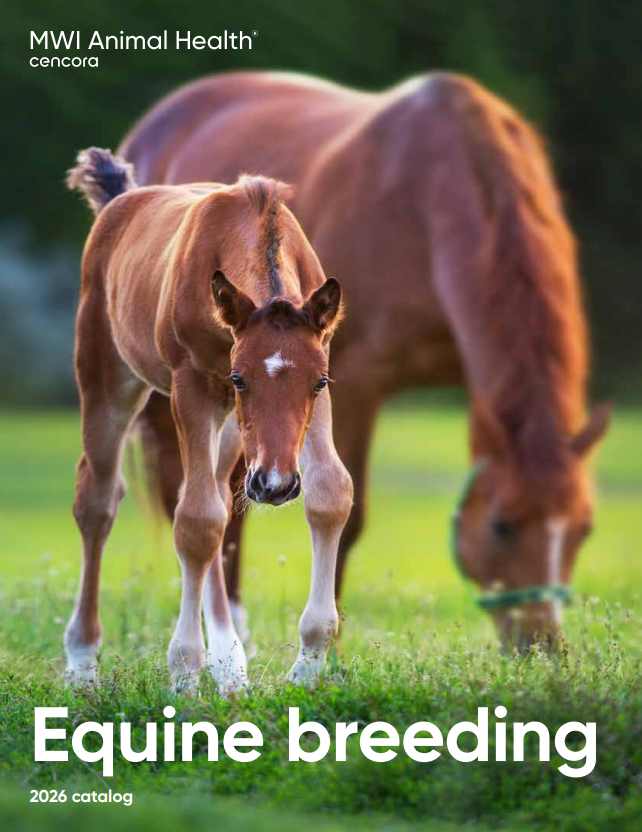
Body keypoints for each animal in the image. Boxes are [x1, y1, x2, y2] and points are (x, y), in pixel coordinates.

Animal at [65, 147, 353, 692]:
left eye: (318, 382)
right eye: (240, 378)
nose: (277, 486)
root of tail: (119, 200)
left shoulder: (317, 380)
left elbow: (331, 492)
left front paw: (307, 665)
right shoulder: (192, 387)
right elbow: (195, 522)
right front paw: (184, 672)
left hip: (233, 431)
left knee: (219, 493)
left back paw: (231, 664)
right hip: (108, 376)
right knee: (98, 499)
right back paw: (82, 665)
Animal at [118, 70, 610, 650]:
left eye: (584, 529)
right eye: (501, 525)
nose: (540, 643)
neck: (427, 198)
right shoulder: (352, 384)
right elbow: (345, 518)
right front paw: (328, 651)